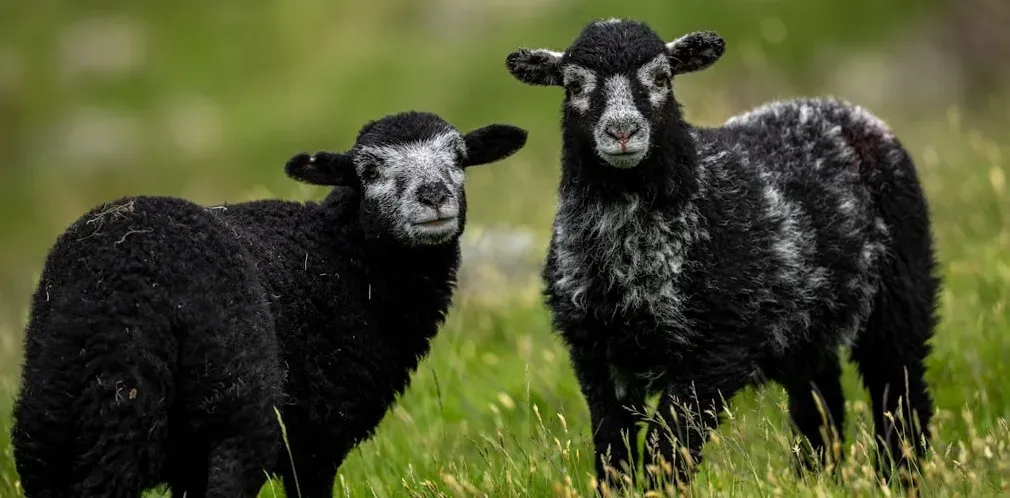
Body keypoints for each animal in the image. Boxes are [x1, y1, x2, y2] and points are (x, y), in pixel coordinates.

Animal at [10, 110, 528, 498]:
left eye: (459, 157)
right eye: (369, 171)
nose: (434, 196)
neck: (339, 256)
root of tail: (126, 296)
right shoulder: (318, 435)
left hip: (49, 428)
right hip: (237, 417)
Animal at [505, 18, 938, 491]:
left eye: (662, 78)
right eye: (574, 85)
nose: (622, 132)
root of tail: (843, 109)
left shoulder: (718, 345)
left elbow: (668, 442)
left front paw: (660, 491)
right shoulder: (593, 349)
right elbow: (611, 445)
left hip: (900, 287)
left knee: (898, 388)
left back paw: (901, 476)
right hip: (804, 319)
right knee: (819, 400)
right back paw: (815, 478)